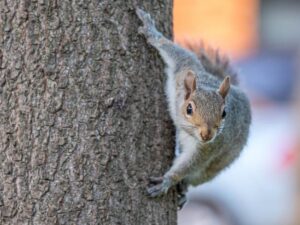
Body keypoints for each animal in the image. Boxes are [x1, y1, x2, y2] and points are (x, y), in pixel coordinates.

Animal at [136, 8, 251, 207]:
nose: (207, 135)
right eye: (189, 109)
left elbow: (188, 165)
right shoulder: (184, 67)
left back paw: (184, 190)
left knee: (194, 177)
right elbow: (173, 50)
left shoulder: (208, 148)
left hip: (215, 167)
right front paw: (152, 32)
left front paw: (167, 181)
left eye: (224, 113)